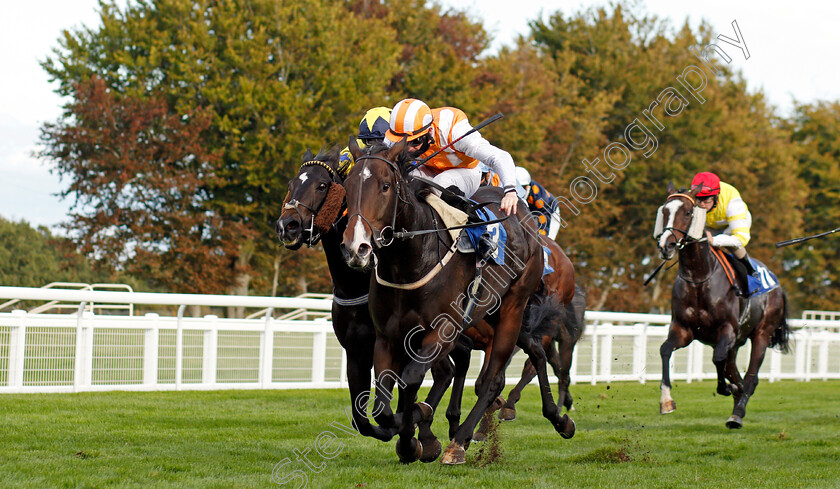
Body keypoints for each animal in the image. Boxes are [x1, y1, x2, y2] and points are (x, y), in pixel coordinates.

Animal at [340, 139, 572, 464]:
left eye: (385, 186)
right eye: (347, 186)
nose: (356, 247)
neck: (410, 260)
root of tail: (524, 218)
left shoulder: (444, 330)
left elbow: (412, 378)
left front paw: (416, 432)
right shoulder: (387, 337)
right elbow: (382, 405)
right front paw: (408, 436)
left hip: (513, 307)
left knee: (492, 380)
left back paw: (459, 442)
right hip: (491, 312)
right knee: (536, 351)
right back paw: (558, 418)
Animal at [656, 183, 788, 428]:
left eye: (687, 212)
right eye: (665, 211)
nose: (665, 245)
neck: (699, 279)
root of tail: (776, 282)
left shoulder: (726, 329)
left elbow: (718, 359)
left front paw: (726, 388)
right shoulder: (683, 330)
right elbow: (665, 350)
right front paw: (666, 401)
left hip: (761, 333)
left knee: (751, 376)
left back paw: (737, 413)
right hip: (736, 341)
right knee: (734, 369)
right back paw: (736, 398)